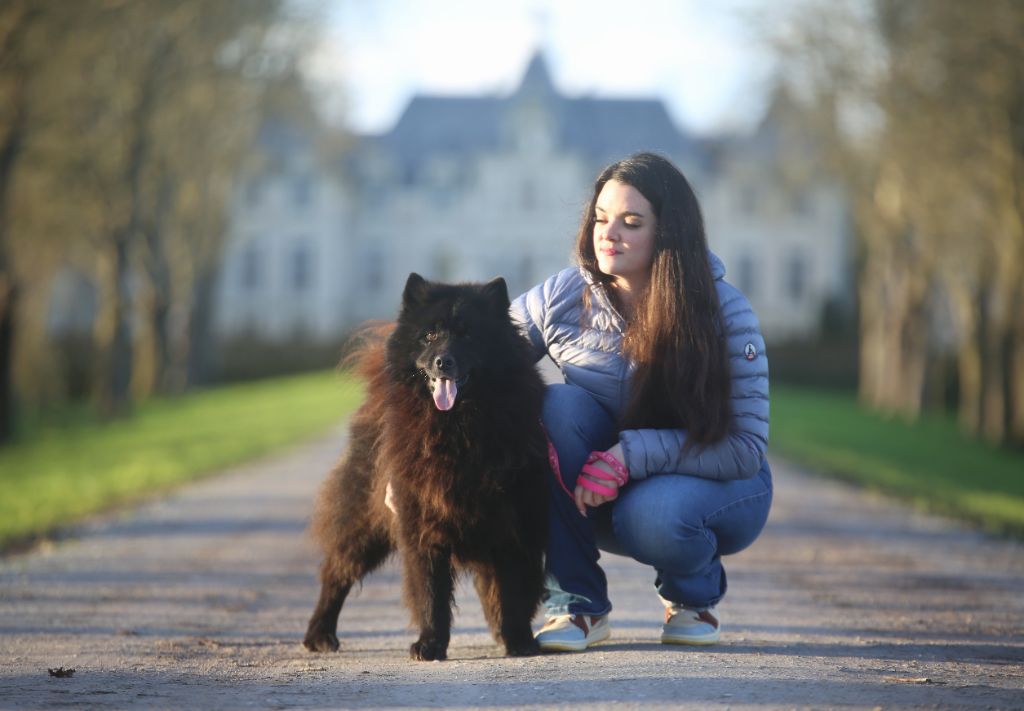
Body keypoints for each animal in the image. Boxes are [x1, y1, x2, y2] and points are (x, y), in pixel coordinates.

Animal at [301, 274, 548, 663]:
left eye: (468, 335)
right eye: (430, 335)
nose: (443, 362)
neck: (457, 429)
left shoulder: (513, 522)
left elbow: (512, 589)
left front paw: (519, 640)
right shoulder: (421, 519)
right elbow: (430, 591)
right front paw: (430, 644)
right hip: (364, 523)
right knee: (336, 572)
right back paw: (320, 634)